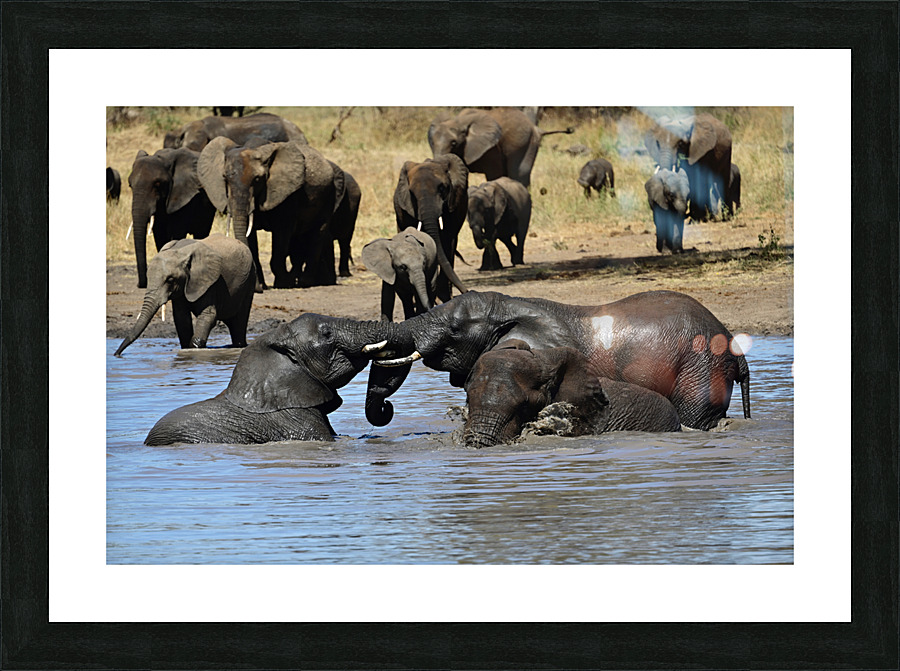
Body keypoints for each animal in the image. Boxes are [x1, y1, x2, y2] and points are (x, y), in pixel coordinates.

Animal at [114, 235, 256, 356]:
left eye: (170, 279)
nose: (117, 354)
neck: (179, 252)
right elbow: (181, 318)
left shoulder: (210, 283)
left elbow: (208, 316)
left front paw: (195, 350)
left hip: (249, 281)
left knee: (239, 322)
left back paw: (239, 345)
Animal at [127, 147, 217, 288]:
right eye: (130, 185)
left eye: (157, 184)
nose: (141, 284)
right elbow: (159, 235)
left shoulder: (183, 196)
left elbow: (177, 233)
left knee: (201, 233)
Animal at [198, 137, 355, 291]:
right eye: (225, 178)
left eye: (257, 179)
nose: (258, 289)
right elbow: (251, 236)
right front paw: (261, 285)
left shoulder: (287, 195)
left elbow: (282, 233)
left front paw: (284, 284)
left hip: (329, 194)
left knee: (318, 232)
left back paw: (304, 282)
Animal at [393, 154, 469, 302]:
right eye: (412, 193)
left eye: (442, 188)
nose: (467, 291)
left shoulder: (455, 202)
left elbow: (447, 238)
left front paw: (442, 297)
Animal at [428, 107, 574, 188]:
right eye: (432, 143)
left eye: (453, 143)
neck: (458, 121)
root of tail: (536, 128)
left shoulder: (492, 149)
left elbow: (495, 174)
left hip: (527, 143)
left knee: (519, 173)